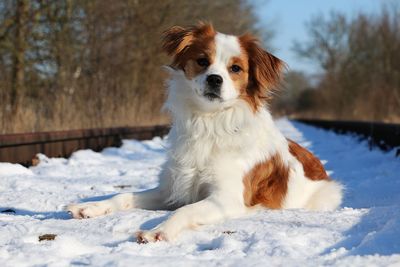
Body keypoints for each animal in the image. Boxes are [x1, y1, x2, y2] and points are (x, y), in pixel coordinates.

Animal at [67, 23, 342, 245]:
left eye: (235, 68)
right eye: (202, 61)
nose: (214, 79)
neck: (208, 122)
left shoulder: (226, 198)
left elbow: (185, 211)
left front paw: (159, 230)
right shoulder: (172, 189)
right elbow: (123, 194)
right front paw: (92, 206)